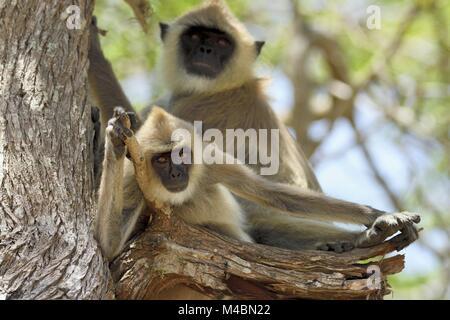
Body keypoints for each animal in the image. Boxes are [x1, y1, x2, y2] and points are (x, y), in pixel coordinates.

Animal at [89, 0, 422, 256]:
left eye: (221, 42)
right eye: (195, 37)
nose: (206, 50)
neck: (230, 87)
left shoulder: (194, 109)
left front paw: (95, 54)